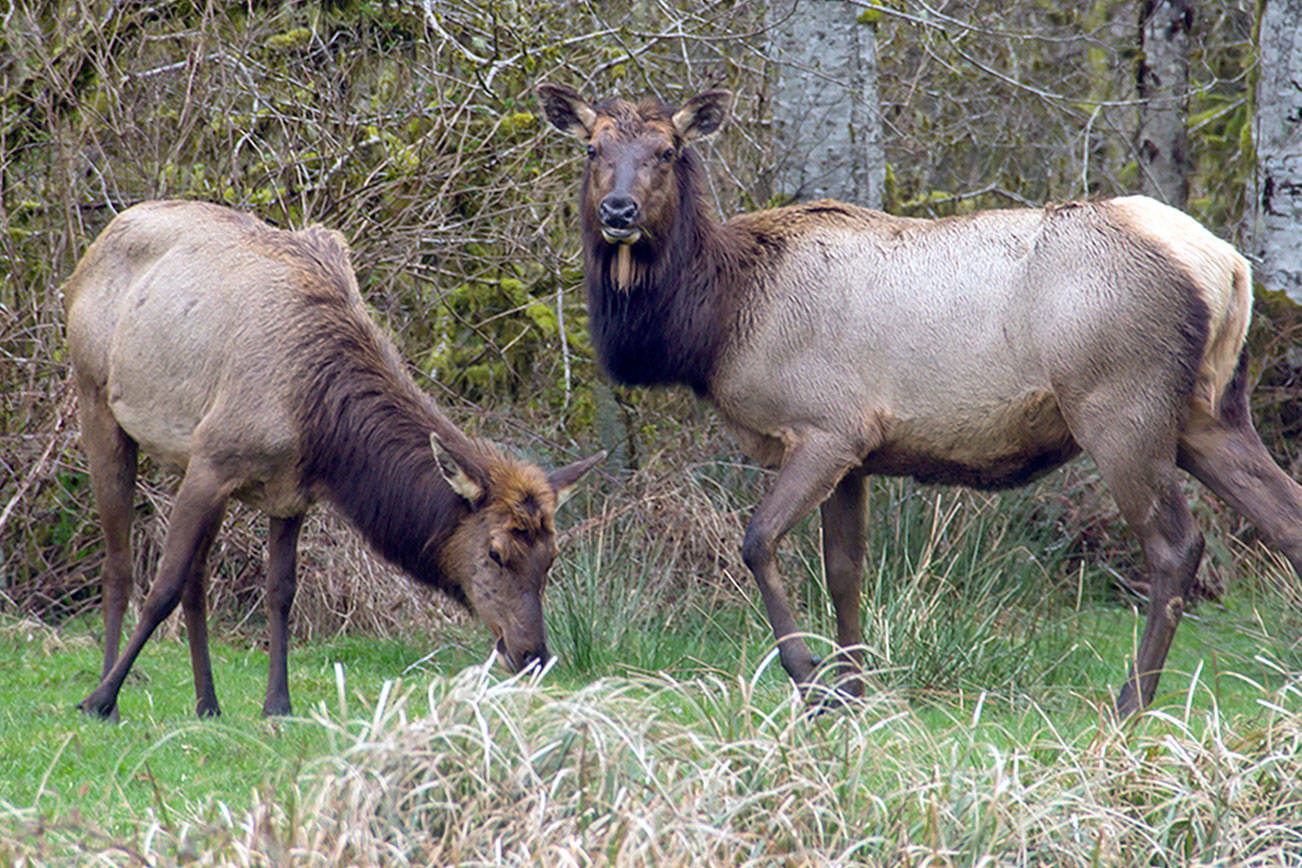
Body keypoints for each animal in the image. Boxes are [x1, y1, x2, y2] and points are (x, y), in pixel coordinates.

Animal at [66, 199, 604, 718]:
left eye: (552, 557)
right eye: (495, 552)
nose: (533, 654)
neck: (320, 429)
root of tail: (90, 252)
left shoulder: (285, 492)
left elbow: (280, 592)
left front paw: (278, 703)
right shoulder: (215, 459)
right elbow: (164, 587)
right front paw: (100, 698)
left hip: (185, 455)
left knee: (197, 579)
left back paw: (208, 703)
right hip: (98, 401)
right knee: (120, 564)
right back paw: (110, 690)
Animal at [536, 84, 1302, 718]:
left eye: (667, 151)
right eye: (593, 147)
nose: (618, 211)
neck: (717, 321)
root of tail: (1228, 267)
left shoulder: (823, 427)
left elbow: (756, 542)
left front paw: (811, 679)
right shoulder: (856, 454)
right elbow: (845, 571)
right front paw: (853, 689)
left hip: (1119, 404)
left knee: (1175, 544)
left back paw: (1130, 704)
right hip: (1211, 411)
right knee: (1286, 519)